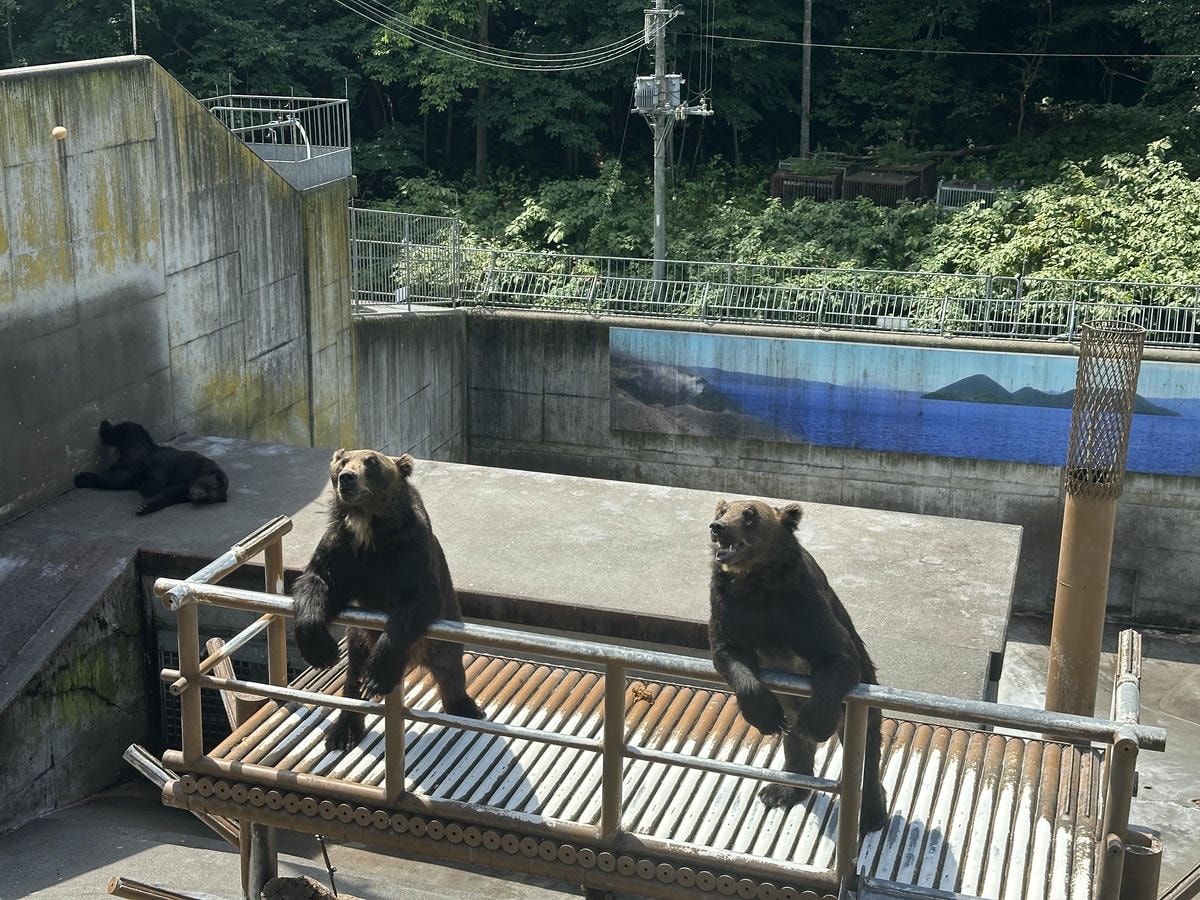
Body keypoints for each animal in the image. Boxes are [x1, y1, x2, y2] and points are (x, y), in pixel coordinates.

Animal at [74, 419, 229, 515]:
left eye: (209, 496)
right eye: (208, 486)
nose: (195, 495)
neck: (194, 476)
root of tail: (120, 460)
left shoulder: (183, 489)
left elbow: (168, 494)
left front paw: (144, 507)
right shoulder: (184, 463)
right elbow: (161, 474)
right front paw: (148, 489)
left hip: (130, 472)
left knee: (115, 480)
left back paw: (83, 479)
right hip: (138, 443)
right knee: (126, 430)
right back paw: (105, 425)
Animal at [292, 448, 484, 751]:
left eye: (371, 463)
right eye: (342, 462)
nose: (347, 478)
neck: (368, 529)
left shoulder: (409, 552)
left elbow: (414, 605)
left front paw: (377, 676)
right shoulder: (341, 549)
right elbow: (316, 580)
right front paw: (321, 650)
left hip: (444, 633)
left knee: (450, 667)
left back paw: (466, 708)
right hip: (359, 636)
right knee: (353, 674)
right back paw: (342, 731)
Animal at [708, 498, 888, 836]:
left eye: (750, 515)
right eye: (722, 511)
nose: (718, 528)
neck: (756, 582)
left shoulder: (802, 606)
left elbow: (838, 655)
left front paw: (816, 723)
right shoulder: (729, 608)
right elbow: (728, 653)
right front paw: (765, 717)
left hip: (865, 695)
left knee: (867, 751)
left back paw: (871, 813)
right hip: (790, 707)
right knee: (794, 742)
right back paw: (779, 791)